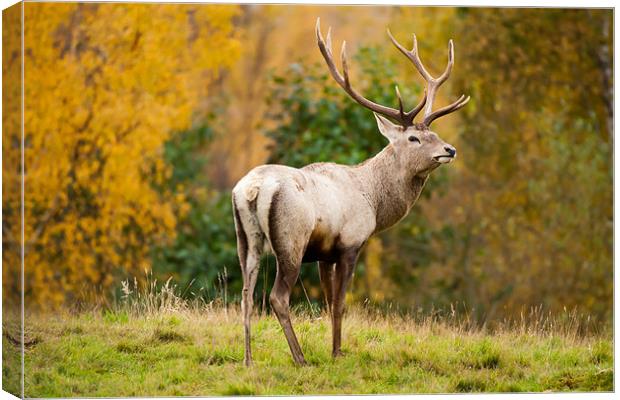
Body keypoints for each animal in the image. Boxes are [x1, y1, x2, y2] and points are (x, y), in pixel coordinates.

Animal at [232, 20, 470, 368]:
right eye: (413, 138)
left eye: (435, 133)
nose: (449, 149)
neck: (373, 200)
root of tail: (252, 189)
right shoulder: (350, 243)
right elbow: (341, 302)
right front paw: (337, 353)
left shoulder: (324, 254)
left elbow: (330, 301)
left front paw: (334, 349)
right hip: (291, 239)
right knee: (277, 297)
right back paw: (300, 358)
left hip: (245, 238)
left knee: (246, 295)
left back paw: (249, 360)